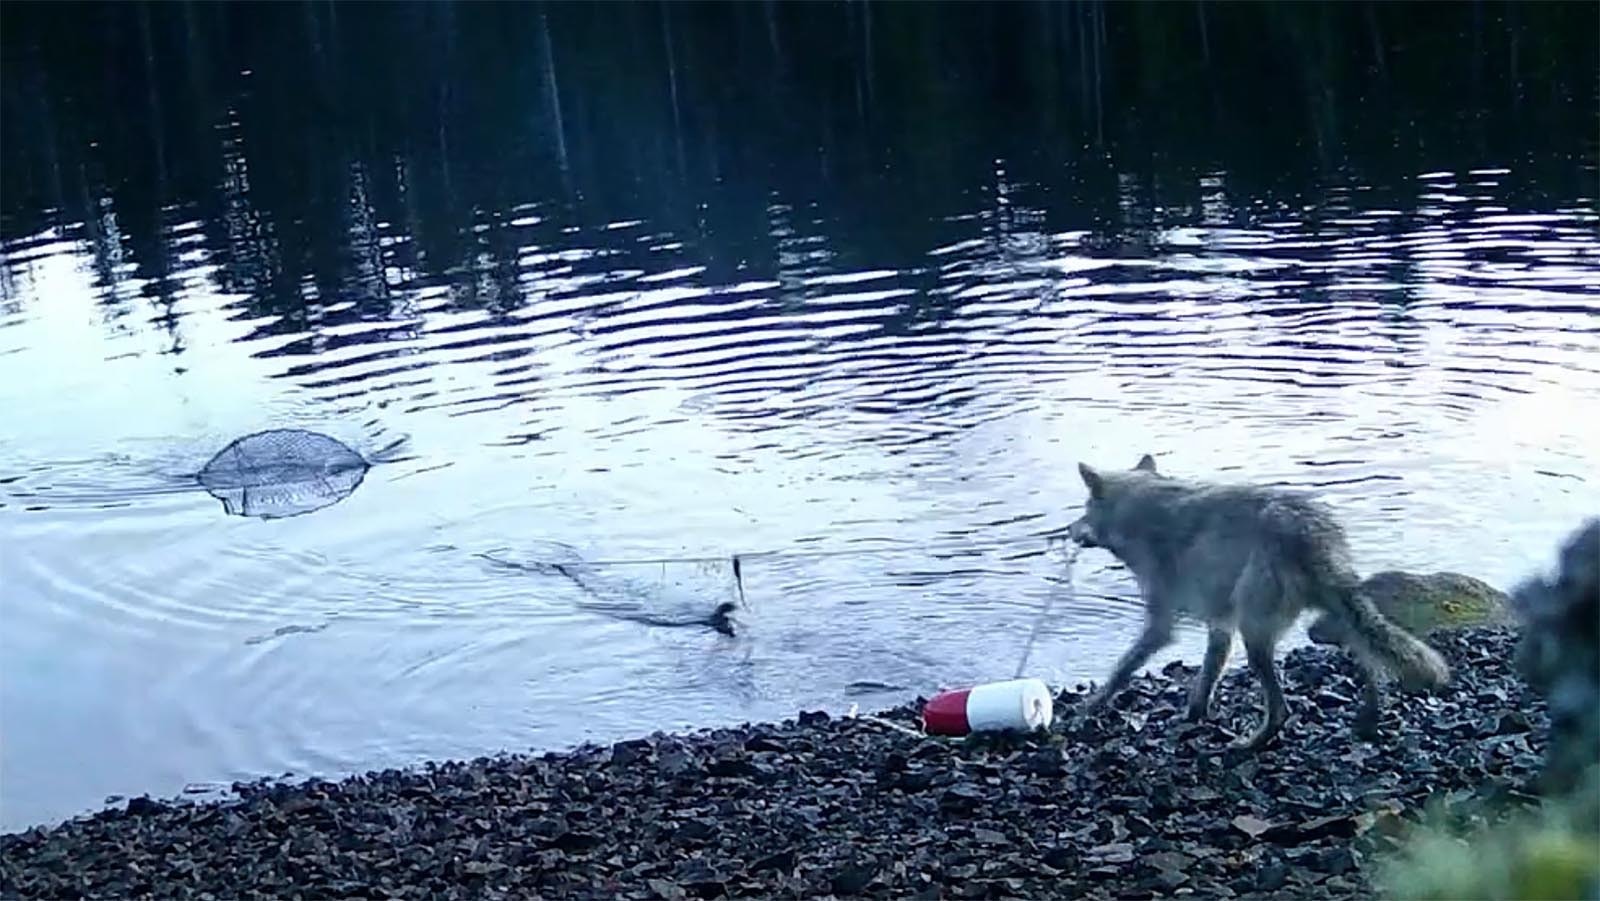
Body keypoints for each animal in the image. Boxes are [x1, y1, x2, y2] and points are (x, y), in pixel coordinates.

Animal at [1065, 454, 1451, 750]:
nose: (1068, 530)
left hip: (1256, 634)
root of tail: (1308, 532)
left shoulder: (1161, 623)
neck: (1138, 510)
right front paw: (1194, 714)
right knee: (1371, 662)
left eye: (1083, 509)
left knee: (1282, 710)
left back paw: (1252, 743)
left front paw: (1091, 705)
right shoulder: (1220, 624)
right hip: (1335, 614)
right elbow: (1207, 676)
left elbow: (1122, 669)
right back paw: (1369, 718)